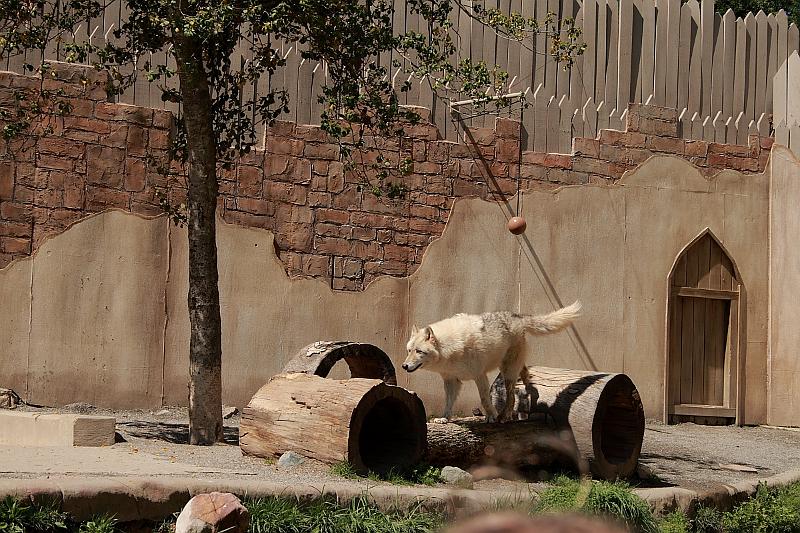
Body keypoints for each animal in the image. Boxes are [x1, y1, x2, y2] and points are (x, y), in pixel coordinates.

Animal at [402, 301, 581, 423]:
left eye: (419, 351)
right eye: (409, 350)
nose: (404, 366)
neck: (449, 349)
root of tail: (517, 317)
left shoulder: (479, 376)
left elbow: (484, 399)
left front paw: (491, 417)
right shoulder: (452, 381)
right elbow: (448, 403)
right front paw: (444, 419)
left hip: (507, 373)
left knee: (512, 397)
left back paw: (504, 416)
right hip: (510, 368)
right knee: (525, 374)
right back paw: (528, 389)